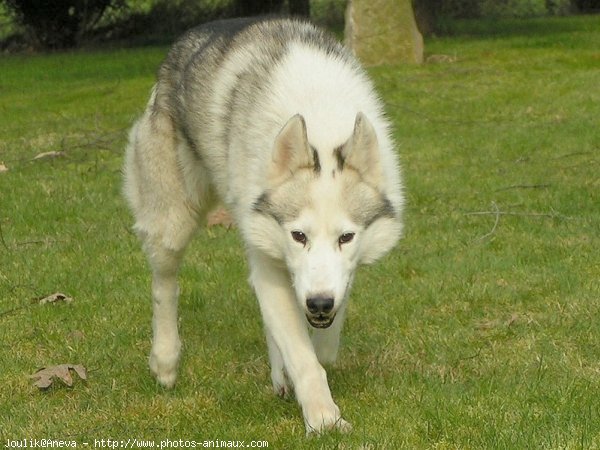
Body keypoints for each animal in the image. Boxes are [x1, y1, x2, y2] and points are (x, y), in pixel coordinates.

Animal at [123, 16, 404, 432]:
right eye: (298, 235)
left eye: (346, 237)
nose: (319, 304)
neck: (319, 121)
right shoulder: (268, 263)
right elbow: (306, 358)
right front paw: (324, 420)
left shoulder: (336, 276)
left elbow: (323, 346)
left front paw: (294, 366)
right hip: (172, 226)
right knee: (164, 286)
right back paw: (165, 361)